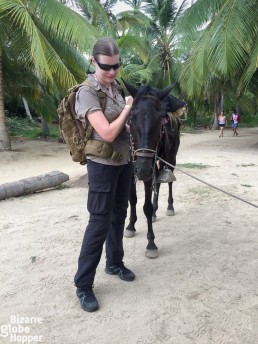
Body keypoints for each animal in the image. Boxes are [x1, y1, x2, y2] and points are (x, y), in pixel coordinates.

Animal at [122, 80, 185, 258]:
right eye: (131, 117)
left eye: (160, 119)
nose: (143, 171)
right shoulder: (132, 170)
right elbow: (133, 200)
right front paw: (131, 225)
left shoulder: (148, 169)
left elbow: (147, 207)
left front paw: (151, 243)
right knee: (158, 181)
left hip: (170, 158)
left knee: (168, 180)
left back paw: (169, 207)